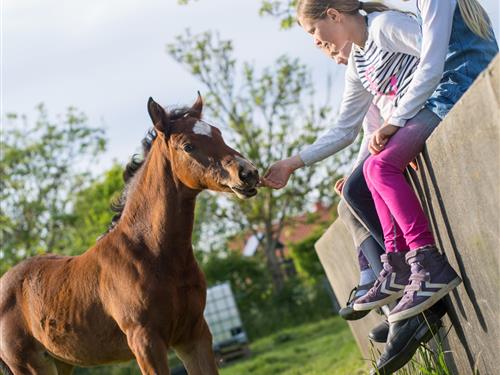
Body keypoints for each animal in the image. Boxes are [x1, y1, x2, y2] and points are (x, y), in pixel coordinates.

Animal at [0, 94, 258, 375]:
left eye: (218, 134)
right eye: (188, 146)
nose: (248, 173)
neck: (152, 253)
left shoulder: (195, 334)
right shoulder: (145, 342)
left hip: (62, 362)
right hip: (28, 365)